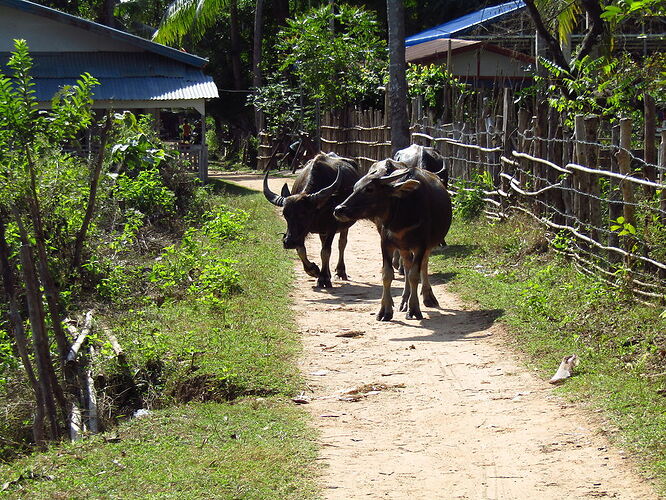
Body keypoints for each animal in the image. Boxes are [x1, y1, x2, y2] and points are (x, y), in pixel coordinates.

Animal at [262, 152, 360, 288]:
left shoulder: (332, 226)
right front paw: (314, 270)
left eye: (303, 213)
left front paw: (323, 278)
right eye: (285, 215)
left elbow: (326, 251)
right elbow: (301, 250)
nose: (288, 242)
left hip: (344, 224)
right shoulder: (301, 232)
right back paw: (327, 272)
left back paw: (340, 271)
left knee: (342, 243)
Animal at [332, 160, 452, 320]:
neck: (402, 213)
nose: (339, 209)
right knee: (406, 267)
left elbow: (414, 275)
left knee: (423, 266)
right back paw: (405, 300)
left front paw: (414, 308)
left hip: (426, 246)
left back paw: (428, 297)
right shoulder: (386, 244)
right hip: (404, 248)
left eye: (369, 189)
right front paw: (385, 310)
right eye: (355, 187)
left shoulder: (421, 245)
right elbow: (387, 274)